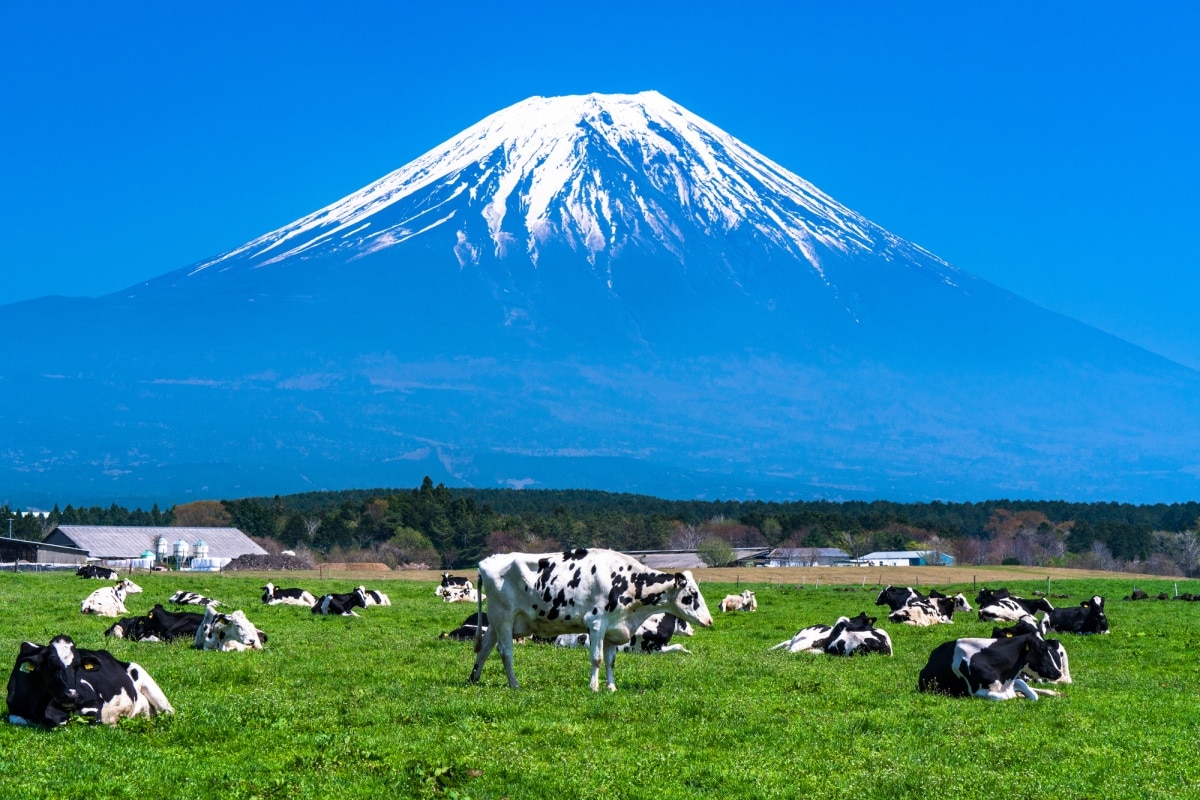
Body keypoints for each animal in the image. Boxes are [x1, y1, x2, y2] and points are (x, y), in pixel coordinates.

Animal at [6, 633, 174, 729]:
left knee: (169, 712)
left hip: (150, 686)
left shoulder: (93, 705)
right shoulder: (13, 713)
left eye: (77, 666)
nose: (71, 695)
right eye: (52, 665)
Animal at [468, 546, 710, 690]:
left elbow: (611, 660)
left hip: (496, 621)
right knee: (505, 651)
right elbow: (597, 658)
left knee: (485, 648)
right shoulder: (596, 624)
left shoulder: (613, 629)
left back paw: (473, 678)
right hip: (504, 617)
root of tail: (486, 561)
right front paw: (594, 687)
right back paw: (515, 684)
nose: (709, 621)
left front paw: (611, 687)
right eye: (692, 594)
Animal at [916, 633, 1070, 705]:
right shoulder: (975, 692)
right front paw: (1018, 696)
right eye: (1043, 649)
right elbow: (1004, 696)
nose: (1058, 673)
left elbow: (1033, 694)